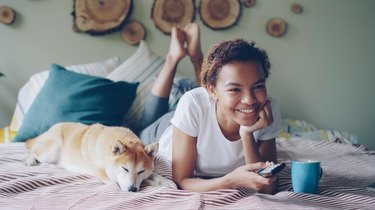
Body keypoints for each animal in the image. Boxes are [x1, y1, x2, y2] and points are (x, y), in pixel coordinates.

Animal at [25, 122, 178, 193]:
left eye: (141, 171)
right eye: (125, 169)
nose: (133, 190)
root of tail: (53, 127)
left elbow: (152, 174)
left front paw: (165, 181)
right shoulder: (105, 174)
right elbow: (142, 181)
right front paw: (154, 184)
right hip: (50, 152)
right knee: (34, 151)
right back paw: (30, 160)